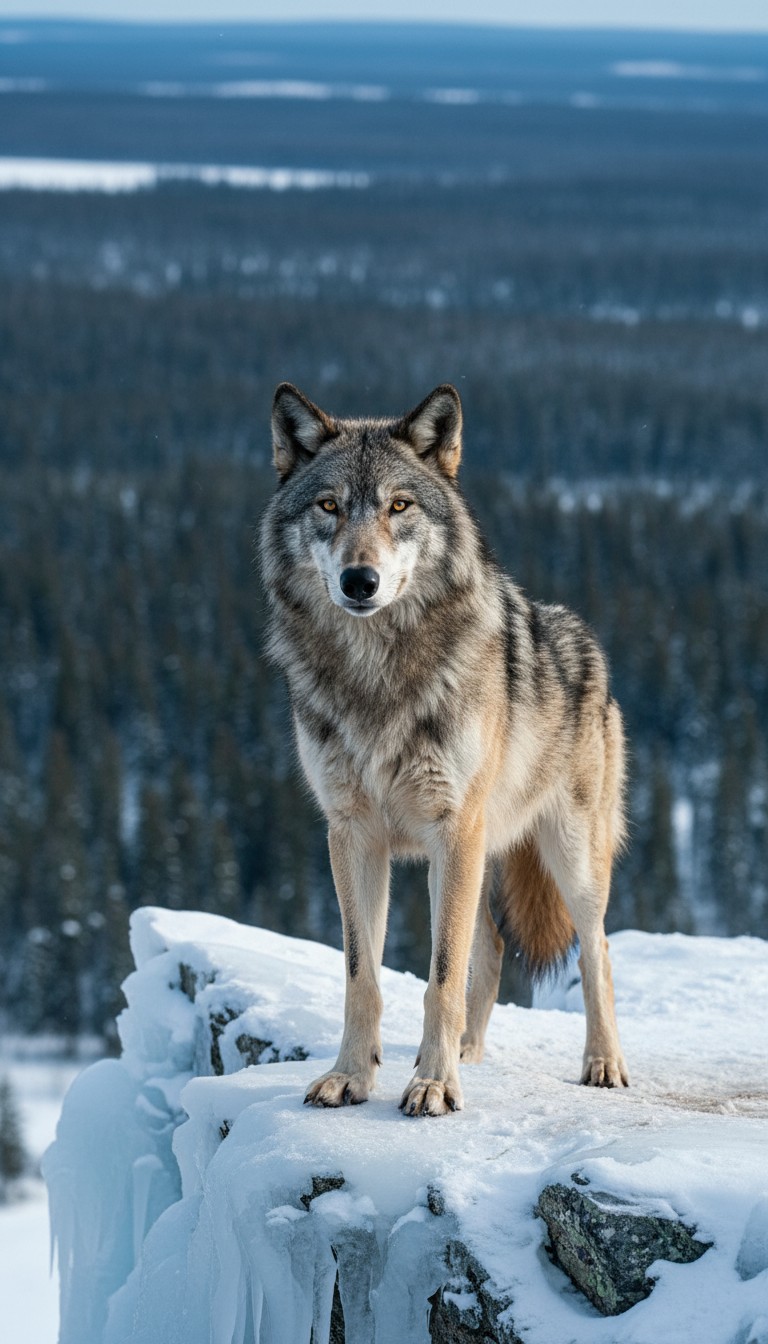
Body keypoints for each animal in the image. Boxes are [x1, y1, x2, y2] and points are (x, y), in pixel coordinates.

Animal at [261, 382, 629, 1117]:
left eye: (399, 506)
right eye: (329, 506)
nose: (360, 580)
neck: (376, 674)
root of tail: (588, 644)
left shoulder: (451, 829)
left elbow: (440, 973)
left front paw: (432, 1085)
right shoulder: (352, 834)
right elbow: (363, 975)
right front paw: (352, 1076)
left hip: (567, 856)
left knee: (594, 951)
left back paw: (600, 1063)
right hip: (481, 855)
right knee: (490, 948)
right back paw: (469, 1054)